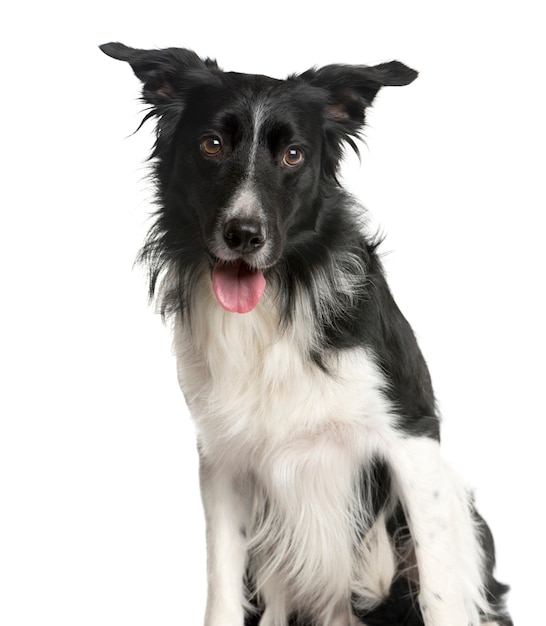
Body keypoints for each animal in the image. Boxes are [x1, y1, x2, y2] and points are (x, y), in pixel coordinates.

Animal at [99, 44, 510, 624]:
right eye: (211, 144)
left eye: (293, 155)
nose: (244, 235)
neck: (274, 302)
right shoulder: (221, 461)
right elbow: (222, 588)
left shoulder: (412, 437)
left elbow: (439, 591)